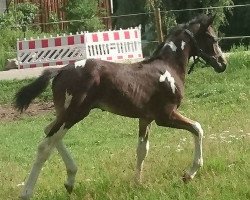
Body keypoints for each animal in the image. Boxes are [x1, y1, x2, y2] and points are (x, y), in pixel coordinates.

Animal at [15, 13, 227, 198]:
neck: (168, 68)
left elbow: (142, 150)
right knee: (45, 145)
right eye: (212, 38)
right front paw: (189, 174)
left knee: (49, 132)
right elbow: (197, 128)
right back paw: (27, 192)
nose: (222, 64)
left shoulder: (145, 118)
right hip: (75, 112)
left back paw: (70, 180)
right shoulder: (165, 116)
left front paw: (137, 183)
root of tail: (60, 71)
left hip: (65, 112)